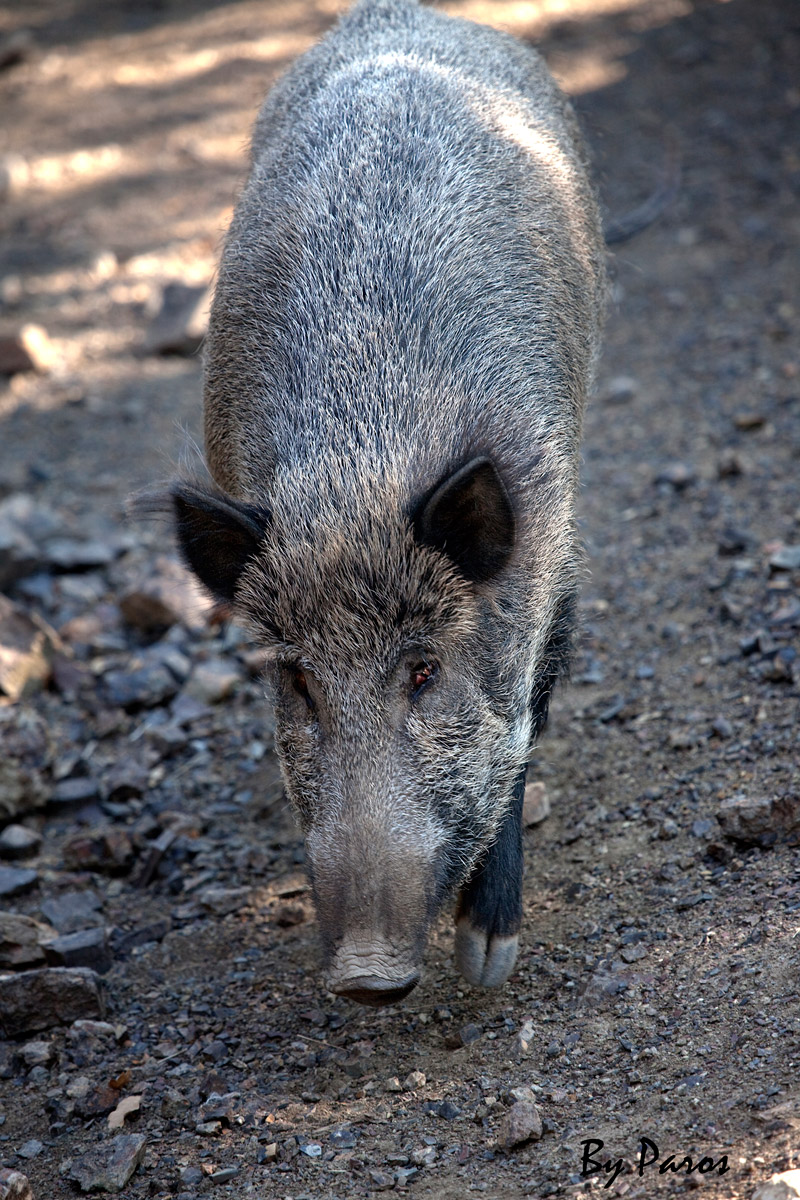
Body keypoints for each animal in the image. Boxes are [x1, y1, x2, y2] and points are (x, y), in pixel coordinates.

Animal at [156, 0, 606, 1005]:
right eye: (297, 680)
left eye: (425, 669)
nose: (366, 973)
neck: (357, 473)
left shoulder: (548, 544)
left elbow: (520, 725)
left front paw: (487, 963)